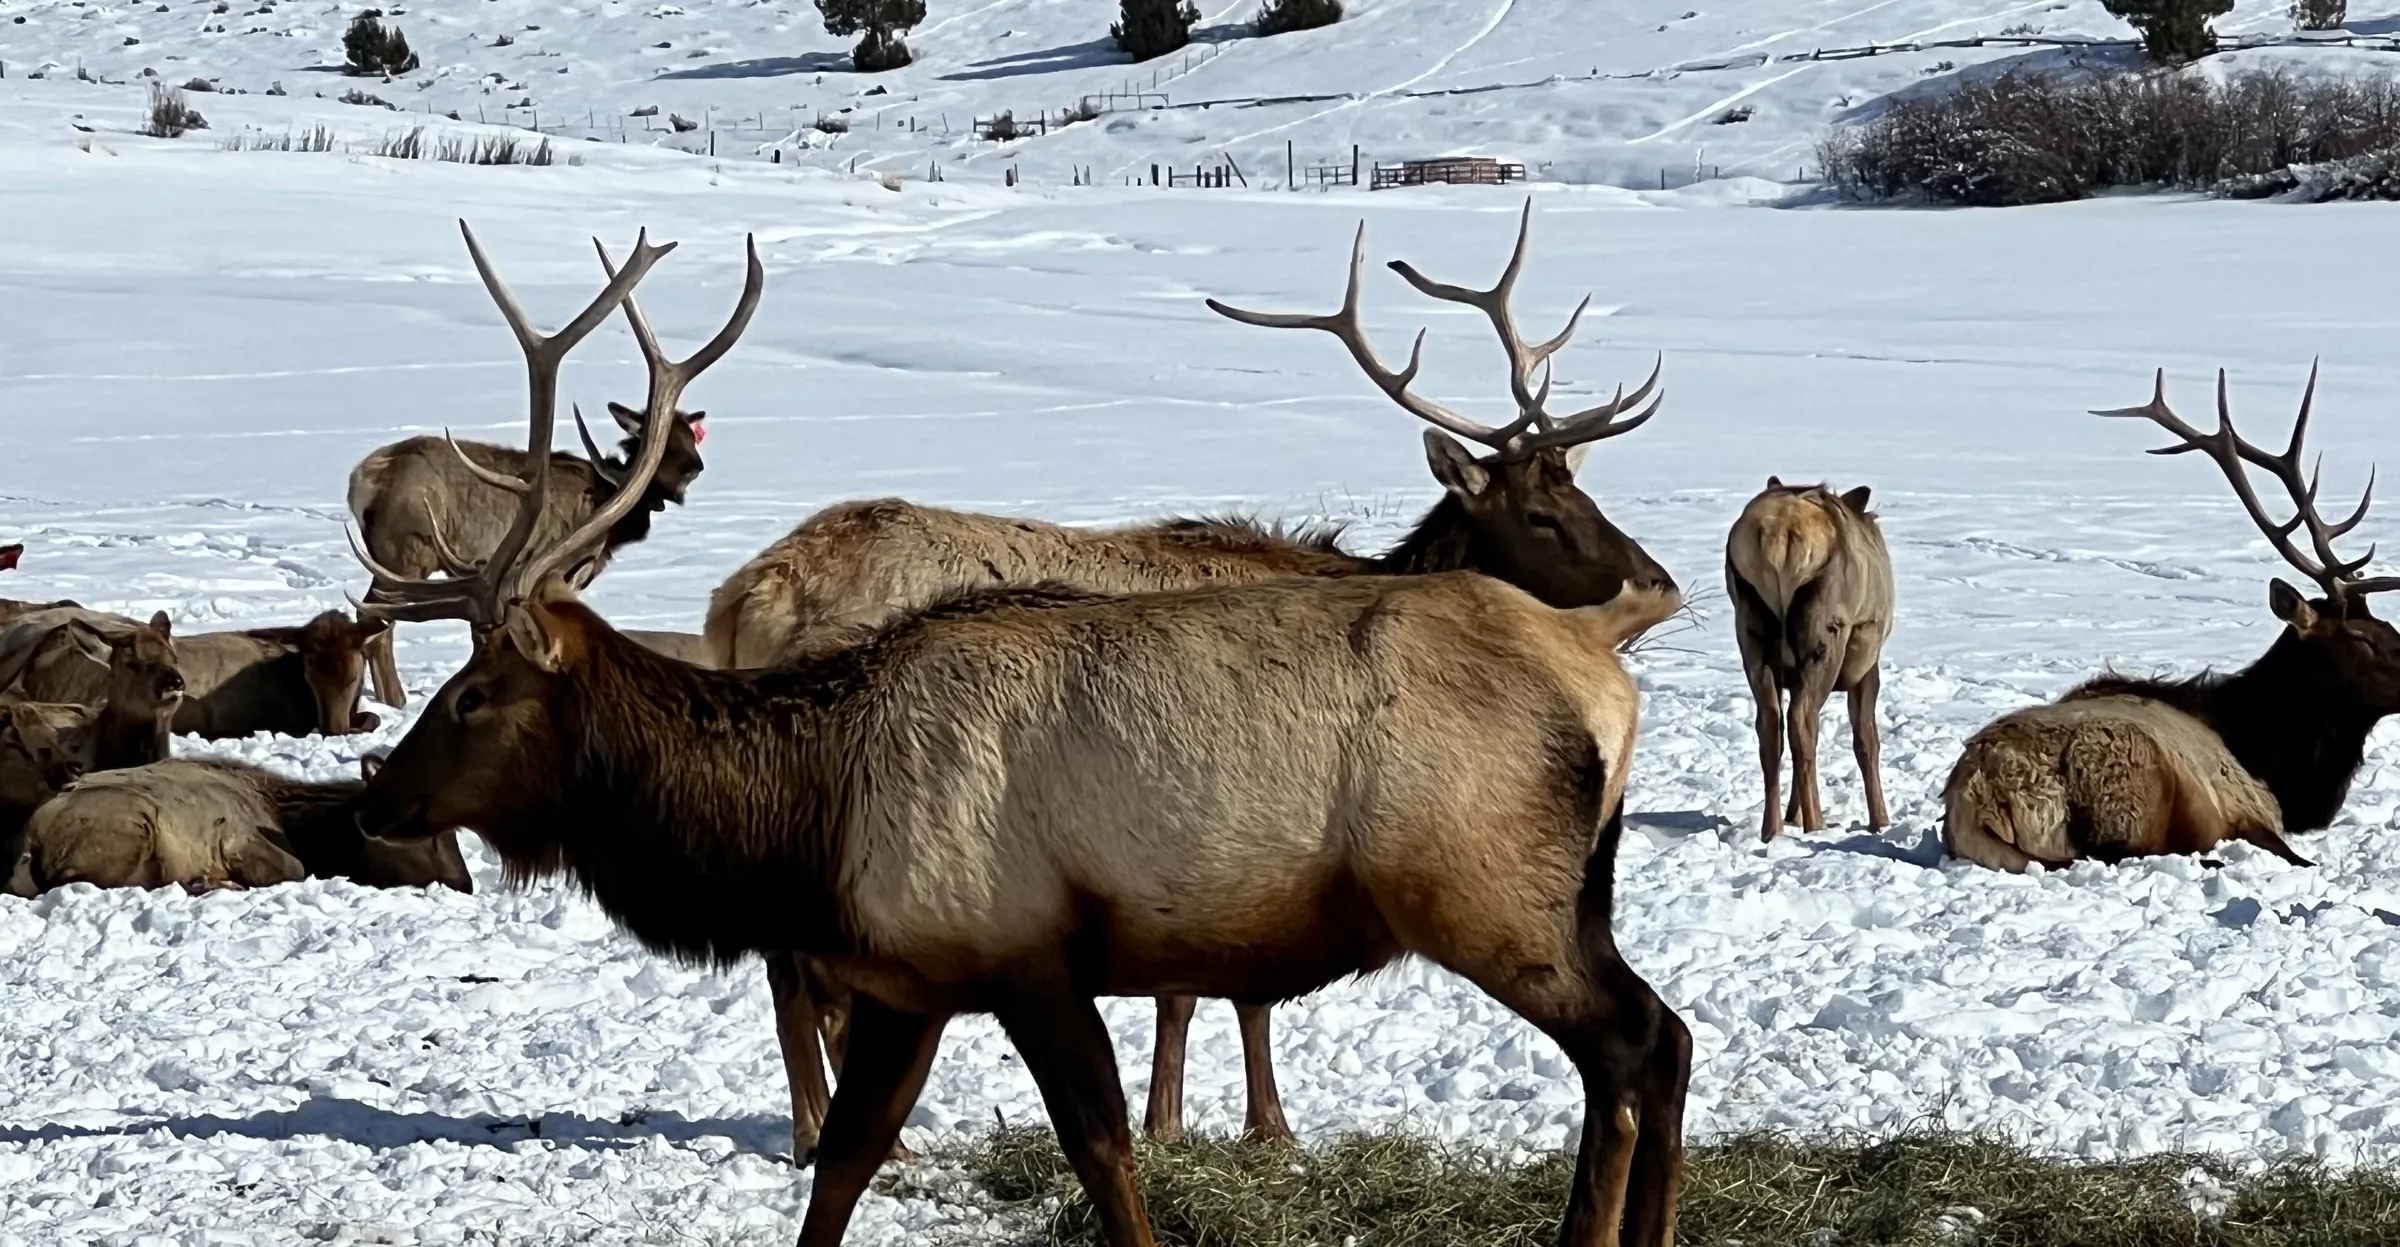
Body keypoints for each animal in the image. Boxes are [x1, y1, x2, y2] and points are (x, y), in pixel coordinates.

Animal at [347, 287, 715, 711]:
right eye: (670, 440)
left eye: (691, 435)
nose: (696, 468)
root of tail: (362, 481)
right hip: (405, 554)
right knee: (375, 624)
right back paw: (396, 702)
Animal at [704, 200, 1677, 1156]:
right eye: (1542, 513)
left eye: (1586, 493)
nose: (1660, 582)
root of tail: (742, 596)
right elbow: (1212, 992)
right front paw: (1212, 1122)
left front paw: (1221, 1119)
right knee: (797, 970)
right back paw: (825, 1131)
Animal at [1726, 479, 1893, 841]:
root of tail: (1779, 532)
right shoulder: (1866, 666)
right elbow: (1867, 741)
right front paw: (1881, 821)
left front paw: (1794, 814)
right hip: (1824, 633)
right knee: (1802, 722)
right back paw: (1816, 825)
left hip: (1751, 628)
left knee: (1771, 726)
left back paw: (1773, 828)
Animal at [1944, 362, 2394, 872]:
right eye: (2363, 639)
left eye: (2387, 627)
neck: (2270, 760)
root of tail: (1980, 797)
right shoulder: (2249, 808)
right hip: (2128, 783)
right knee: (2122, 851)